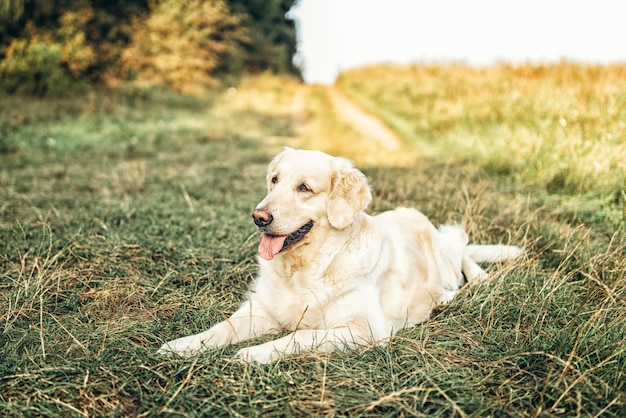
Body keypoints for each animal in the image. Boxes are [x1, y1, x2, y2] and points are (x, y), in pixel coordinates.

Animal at [157, 149, 520, 362]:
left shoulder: (365, 329)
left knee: (462, 253)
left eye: (304, 188)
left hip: (443, 253)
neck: (306, 269)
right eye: (274, 180)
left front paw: (252, 354)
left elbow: (300, 335)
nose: (259, 217)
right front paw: (184, 345)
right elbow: (222, 328)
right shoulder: (262, 310)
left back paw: (467, 285)